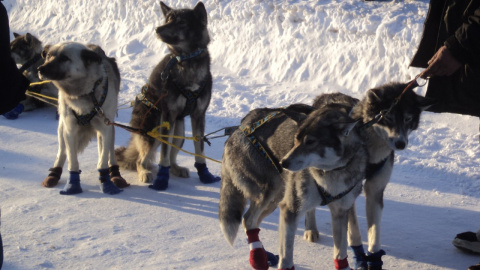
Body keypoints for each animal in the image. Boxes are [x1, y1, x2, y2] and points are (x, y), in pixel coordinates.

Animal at [37, 41, 128, 194]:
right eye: (48, 56)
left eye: (64, 58)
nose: (40, 69)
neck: (84, 93)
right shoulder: (70, 130)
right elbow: (72, 161)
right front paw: (73, 185)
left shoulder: (105, 129)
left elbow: (103, 160)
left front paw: (106, 183)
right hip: (62, 128)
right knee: (62, 152)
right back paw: (54, 173)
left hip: (110, 129)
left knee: (109, 153)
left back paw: (115, 175)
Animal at [114, 1, 219, 191]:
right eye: (168, 20)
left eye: (181, 22)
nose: (157, 28)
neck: (186, 61)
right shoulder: (168, 115)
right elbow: (163, 154)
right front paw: (161, 181)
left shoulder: (199, 115)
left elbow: (199, 150)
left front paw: (205, 174)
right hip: (153, 130)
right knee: (141, 159)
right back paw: (145, 172)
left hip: (179, 132)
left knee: (171, 155)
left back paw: (175, 168)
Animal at [219, 102, 370, 268]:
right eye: (296, 139)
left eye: (310, 142)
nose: (283, 163)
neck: (329, 173)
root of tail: (242, 125)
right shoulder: (290, 210)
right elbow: (286, 255)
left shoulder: (340, 212)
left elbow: (340, 252)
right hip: (270, 193)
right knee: (248, 220)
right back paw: (258, 257)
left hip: (275, 199)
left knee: (253, 223)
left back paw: (265, 255)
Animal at [314, 82, 434, 270]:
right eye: (389, 118)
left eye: (408, 119)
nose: (401, 143)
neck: (371, 152)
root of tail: (327, 95)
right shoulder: (347, 193)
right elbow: (353, 229)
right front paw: (358, 256)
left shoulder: (375, 190)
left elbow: (374, 232)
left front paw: (373, 258)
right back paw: (310, 231)